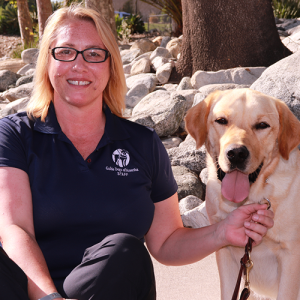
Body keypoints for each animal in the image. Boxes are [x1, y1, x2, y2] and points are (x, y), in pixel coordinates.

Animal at [186, 88, 300, 298]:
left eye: (262, 125)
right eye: (221, 120)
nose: (237, 153)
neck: (249, 199)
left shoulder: (291, 256)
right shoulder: (225, 253)